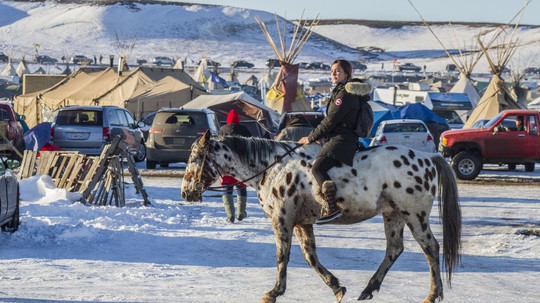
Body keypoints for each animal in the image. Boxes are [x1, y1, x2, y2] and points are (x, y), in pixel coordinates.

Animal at [181, 131, 460, 303]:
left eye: (195, 157)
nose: (186, 192)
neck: (273, 167)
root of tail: (428, 158)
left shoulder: (282, 220)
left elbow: (282, 256)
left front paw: (274, 292)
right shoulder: (302, 223)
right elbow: (310, 256)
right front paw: (337, 287)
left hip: (414, 215)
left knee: (430, 248)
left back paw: (433, 294)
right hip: (393, 214)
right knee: (394, 249)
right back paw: (368, 289)